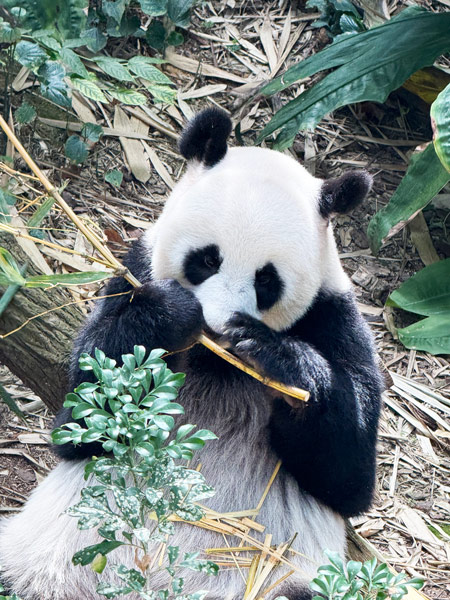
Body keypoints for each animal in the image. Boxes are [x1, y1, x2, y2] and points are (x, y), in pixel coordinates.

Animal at [0, 109, 382, 600]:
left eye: (266, 280)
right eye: (206, 259)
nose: (217, 327)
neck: (217, 363)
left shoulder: (333, 313)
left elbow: (347, 478)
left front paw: (280, 358)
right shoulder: (136, 271)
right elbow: (80, 422)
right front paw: (170, 316)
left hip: (283, 578)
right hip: (39, 560)